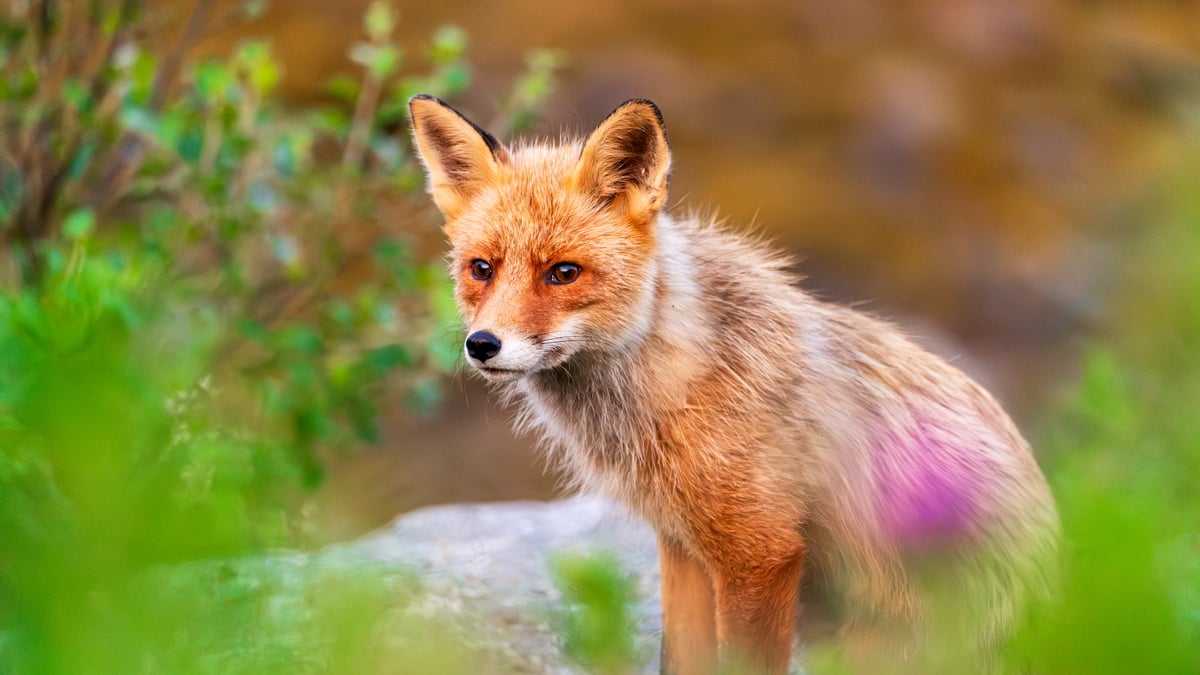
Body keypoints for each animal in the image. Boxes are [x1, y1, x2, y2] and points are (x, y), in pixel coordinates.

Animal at [408, 94, 1059, 674]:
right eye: (482, 269)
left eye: (563, 273)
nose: (482, 345)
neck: (674, 390)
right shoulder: (683, 544)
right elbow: (683, 659)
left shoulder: (759, 551)